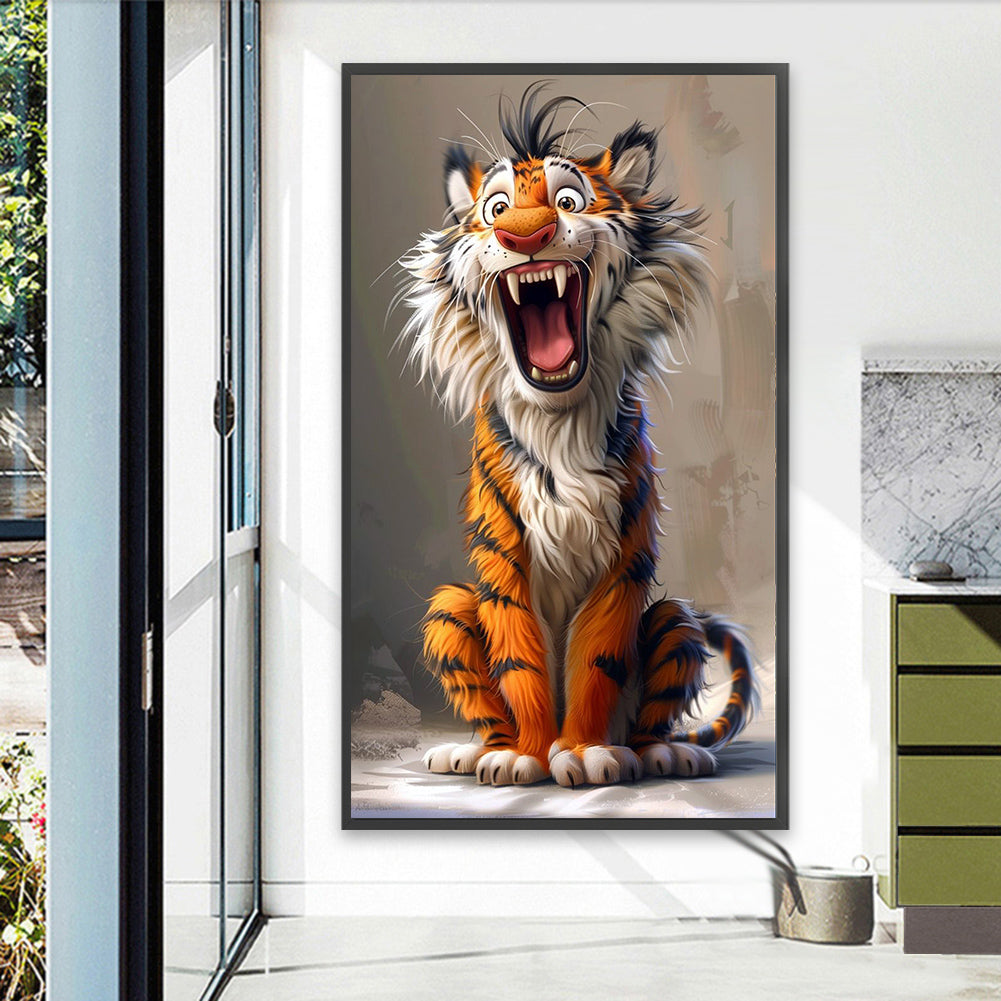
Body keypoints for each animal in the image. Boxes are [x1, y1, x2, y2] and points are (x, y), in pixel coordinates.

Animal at [398, 83, 757, 788]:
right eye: (496, 208)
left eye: (569, 200)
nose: (525, 232)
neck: (558, 418)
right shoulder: (503, 555)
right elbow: (522, 662)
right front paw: (526, 756)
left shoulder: (624, 555)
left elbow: (595, 659)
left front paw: (587, 752)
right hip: (450, 605)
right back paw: (473, 752)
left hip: (676, 621)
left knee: (656, 703)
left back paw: (663, 753)